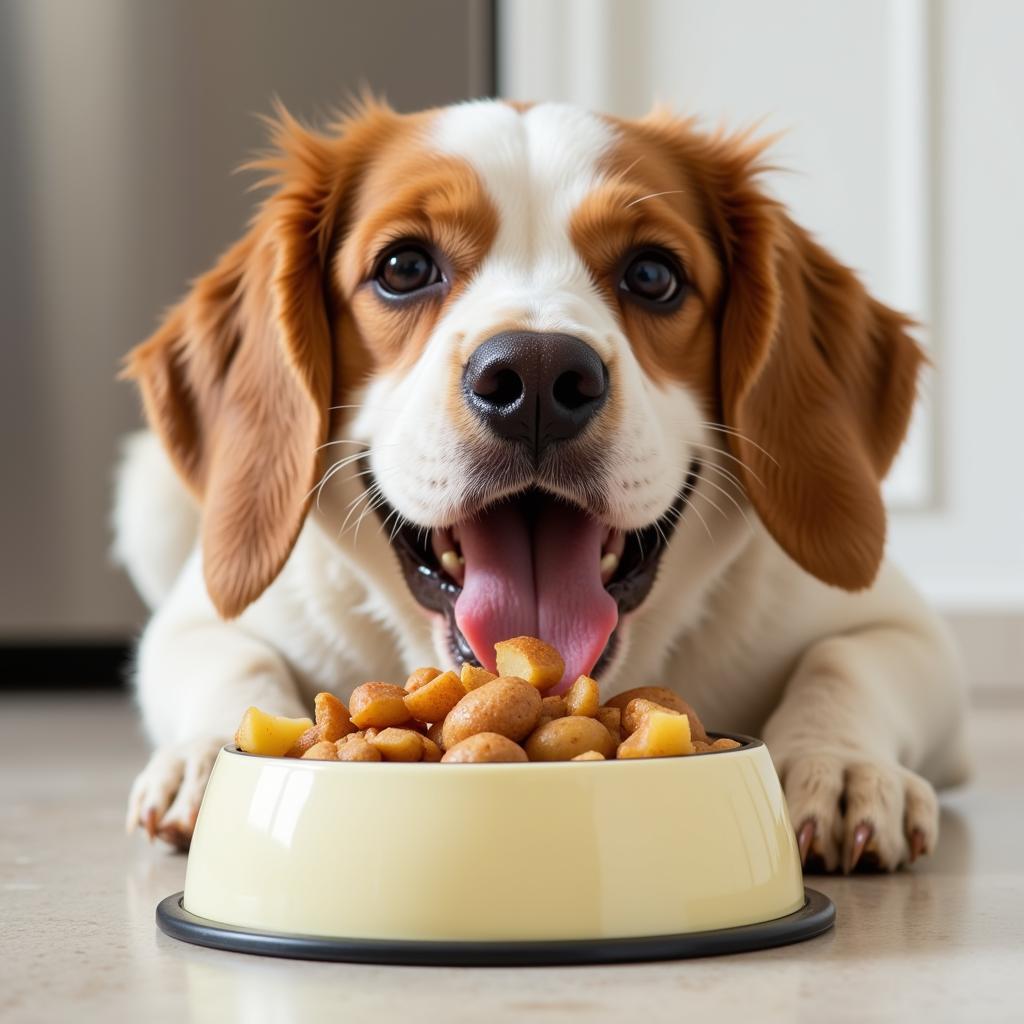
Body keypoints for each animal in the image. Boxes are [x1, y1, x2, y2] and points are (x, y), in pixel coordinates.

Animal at [114, 97, 966, 872]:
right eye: (403, 268)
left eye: (653, 274)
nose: (534, 377)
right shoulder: (198, 620)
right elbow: (232, 662)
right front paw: (202, 758)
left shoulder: (905, 632)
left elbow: (845, 663)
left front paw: (840, 763)